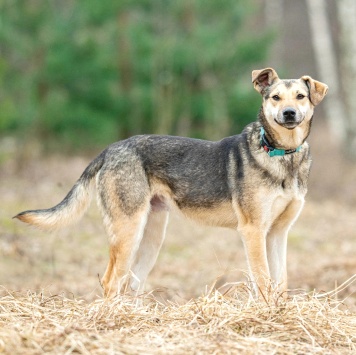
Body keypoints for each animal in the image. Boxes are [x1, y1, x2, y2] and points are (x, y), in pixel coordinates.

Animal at [15, 69, 330, 298]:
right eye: (275, 97)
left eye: (300, 96)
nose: (289, 113)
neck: (282, 155)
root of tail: (110, 149)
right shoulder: (253, 231)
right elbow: (263, 281)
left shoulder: (278, 233)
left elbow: (281, 283)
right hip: (128, 230)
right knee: (110, 281)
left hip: (152, 235)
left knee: (132, 284)